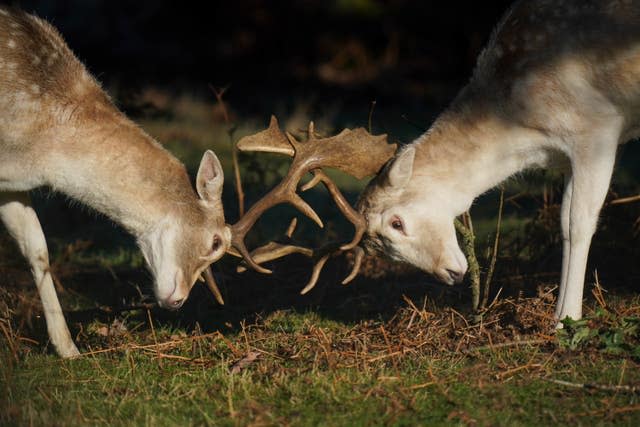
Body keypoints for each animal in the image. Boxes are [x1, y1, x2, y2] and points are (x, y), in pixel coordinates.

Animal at [356, 0, 640, 322]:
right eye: (385, 251)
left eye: (397, 222)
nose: (451, 273)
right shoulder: (568, 156)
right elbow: (563, 224)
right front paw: (557, 315)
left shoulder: (598, 127)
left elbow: (579, 223)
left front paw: (566, 319)